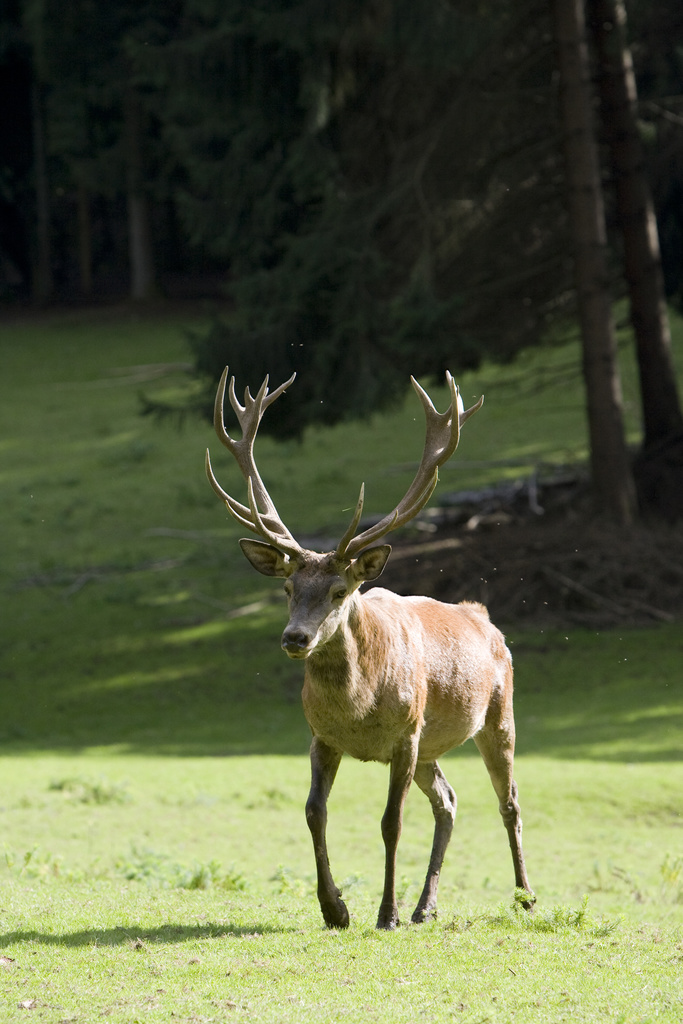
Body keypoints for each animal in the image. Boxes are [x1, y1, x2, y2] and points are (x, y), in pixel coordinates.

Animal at [205, 366, 534, 930]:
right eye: (288, 587)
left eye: (341, 591)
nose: (295, 638)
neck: (358, 710)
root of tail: (483, 617)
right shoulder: (322, 736)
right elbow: (314, 811)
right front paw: (335, 908)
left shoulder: (405, 733)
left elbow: (390, 822)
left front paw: (385, 914)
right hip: (432, 745)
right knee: (448, 800)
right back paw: (426, 907)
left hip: (496, 713)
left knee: (508, 800)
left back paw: (524, 896)